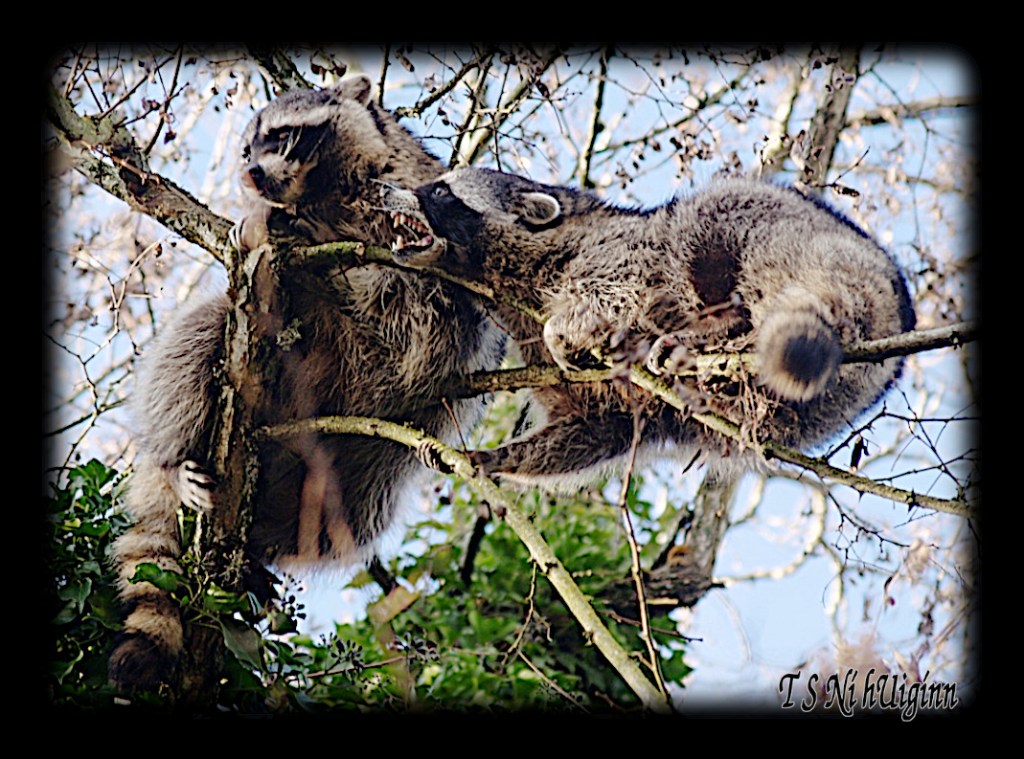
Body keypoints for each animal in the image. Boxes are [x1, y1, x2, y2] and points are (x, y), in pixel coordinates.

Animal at [109, 76, 507, 692]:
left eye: (282, 136)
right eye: (246, 150)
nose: (252, 175)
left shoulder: (419, 222)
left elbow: (418, 291)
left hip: (364, 456)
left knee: (348, 511)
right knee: (199, 334)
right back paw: (177, 461)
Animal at [381, 168, 915, 489]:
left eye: (440, 190)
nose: (384, 189)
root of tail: (894, 294)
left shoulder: (610, 250)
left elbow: (619, 292)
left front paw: (565, 326)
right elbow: (591, 429)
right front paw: (492, 458)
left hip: (785, 229)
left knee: (713, 216)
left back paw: (721, 329)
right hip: (816, 406)